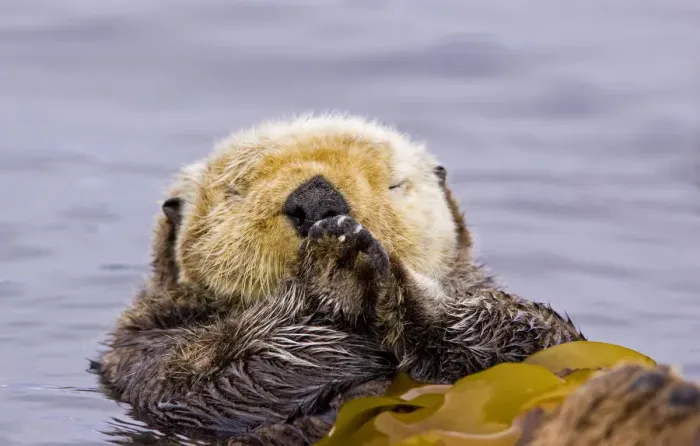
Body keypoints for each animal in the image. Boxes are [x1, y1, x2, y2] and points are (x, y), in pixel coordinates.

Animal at [93, 114, 585, 445]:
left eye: (393, 184)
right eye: (238, 189)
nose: (317, 198)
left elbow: (542, 339)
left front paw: (402, 289)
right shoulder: (147, 351)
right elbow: (215, 378)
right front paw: (334, 265)